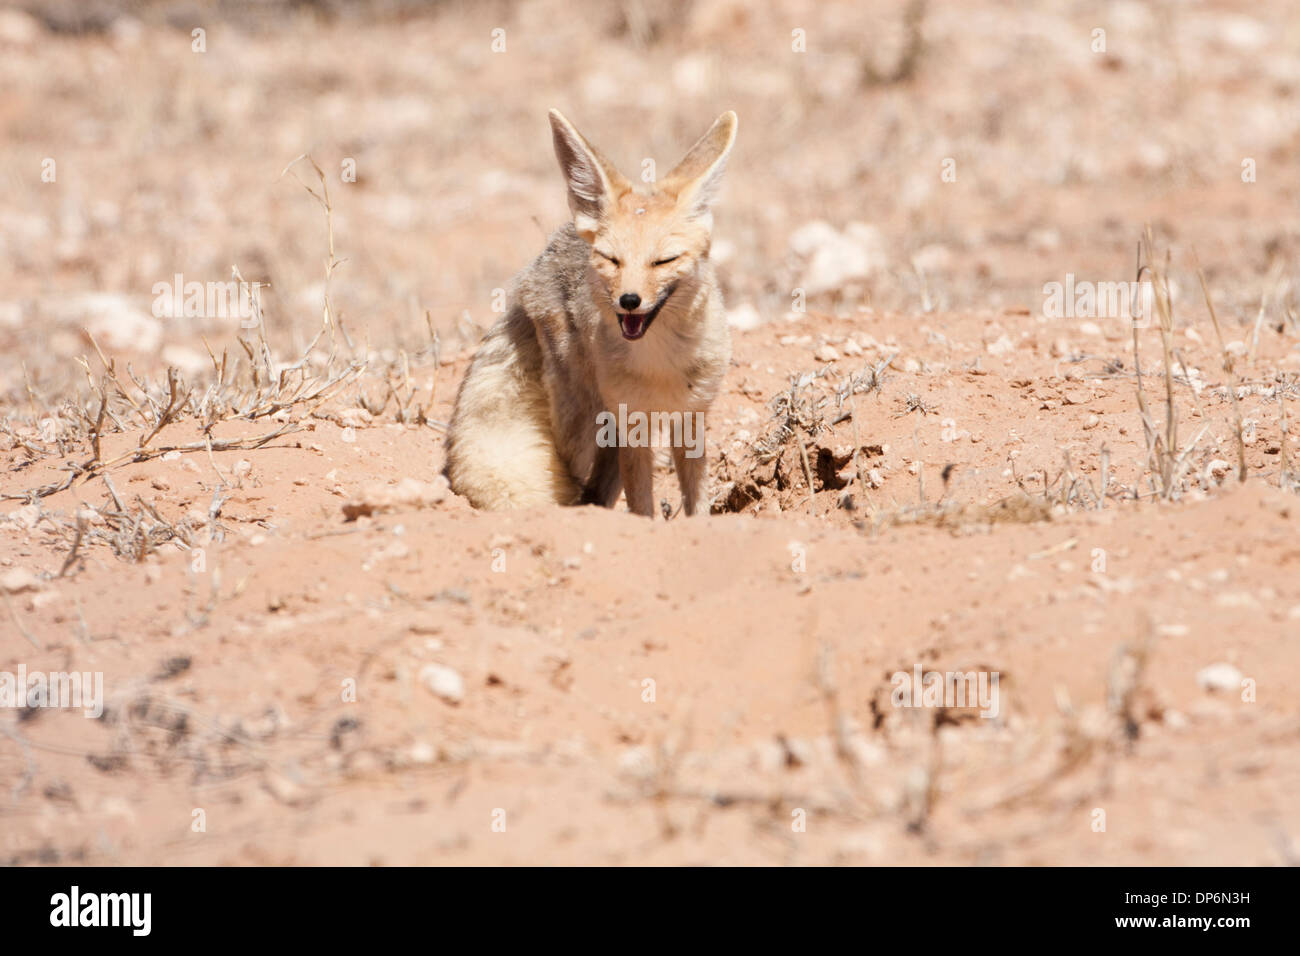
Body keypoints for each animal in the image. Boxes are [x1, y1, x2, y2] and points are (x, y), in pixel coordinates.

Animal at [444, 109, 738, 517]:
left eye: (664, 261)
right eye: (612, 260)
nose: (629, 300)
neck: (662, 363)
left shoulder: (692, 418)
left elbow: (697, 499)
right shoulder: (631, 426)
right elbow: (641, 503)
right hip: (583, 415)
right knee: (585, 477)